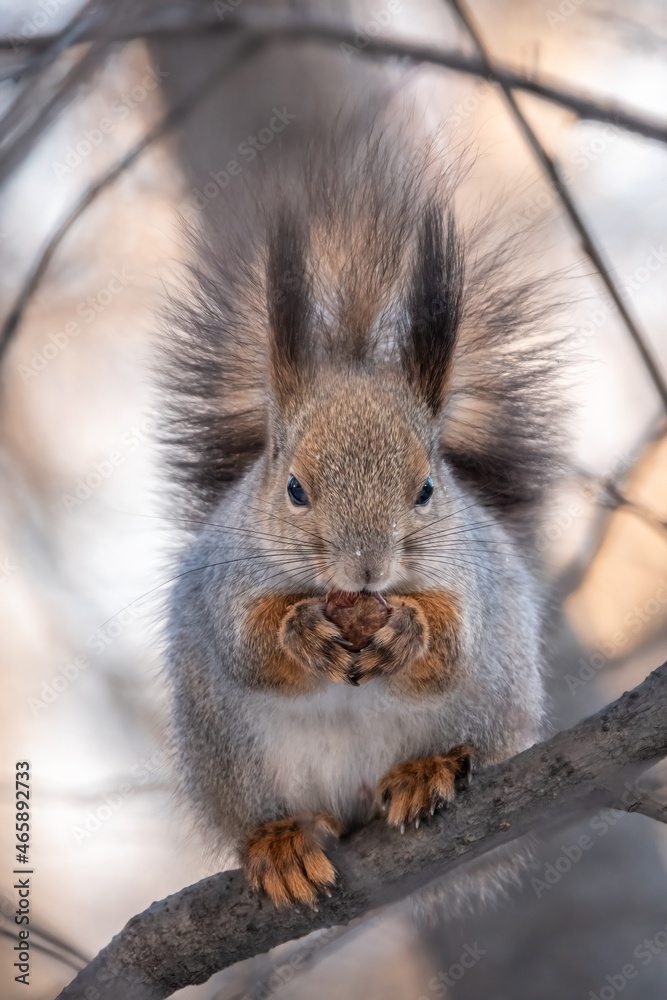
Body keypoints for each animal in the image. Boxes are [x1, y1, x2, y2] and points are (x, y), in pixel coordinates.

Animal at [160, 130, 565, 908]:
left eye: (428, 488)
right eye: (293, 488)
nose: (367, 568)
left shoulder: (469, 576)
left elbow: (450, 647)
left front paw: (408, 629)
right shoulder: (223, 582)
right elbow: (249, 648)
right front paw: (299, 632)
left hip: (493, 704)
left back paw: (426, 771)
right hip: (230, 755)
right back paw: (280, 842)